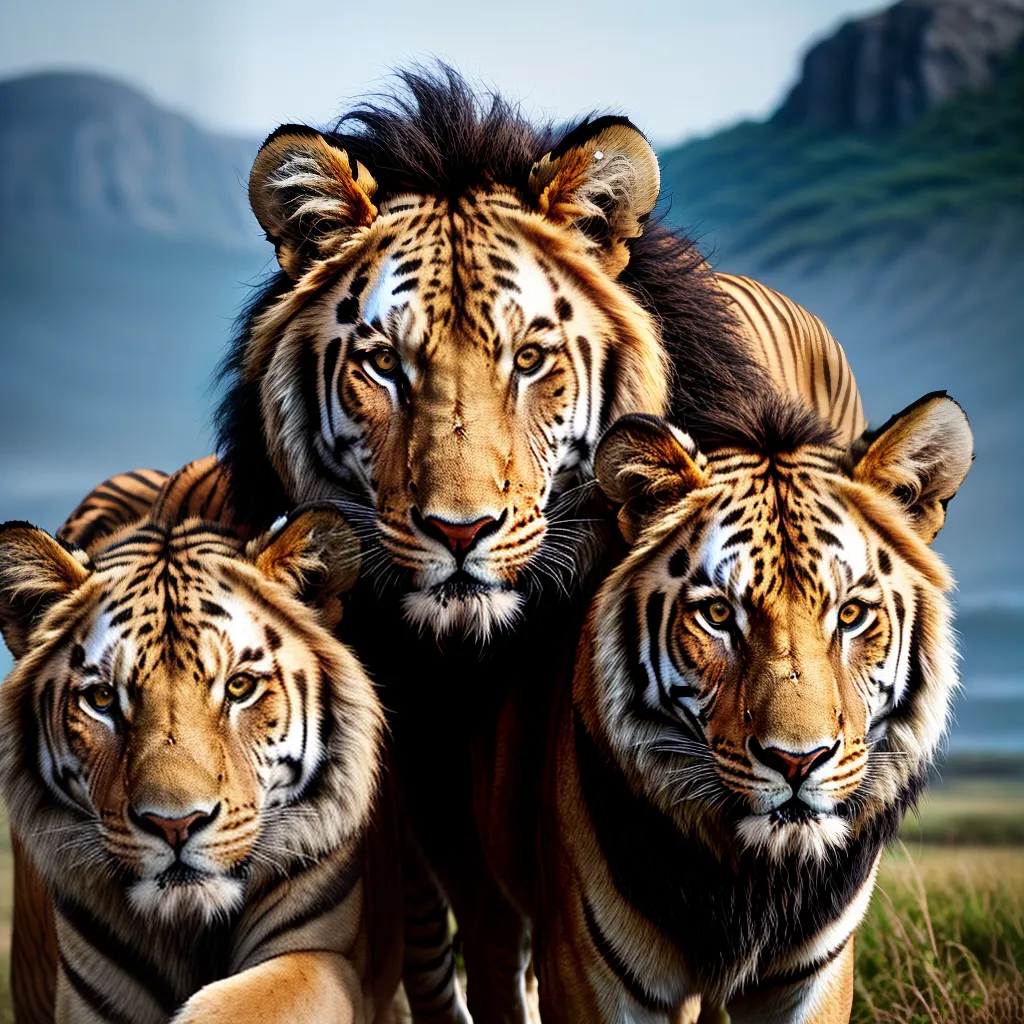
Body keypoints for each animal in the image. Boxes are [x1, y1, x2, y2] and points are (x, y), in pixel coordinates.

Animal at [532, 391, 973, 1023]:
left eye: (850, 614)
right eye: (718, 615)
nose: (798, 761)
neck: (754, 884)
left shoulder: (817, 975)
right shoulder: (589, 974)